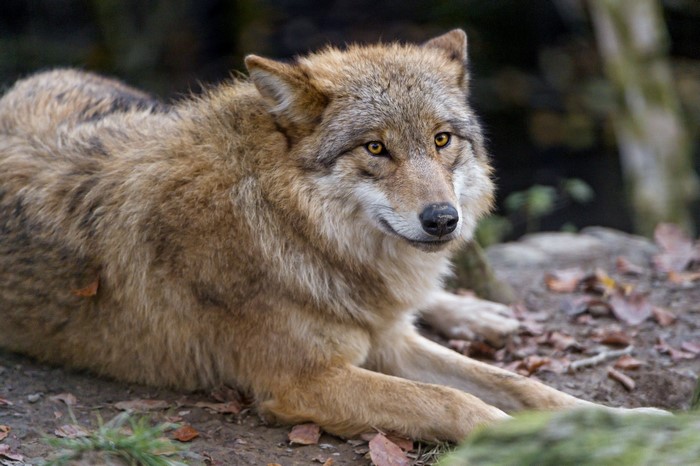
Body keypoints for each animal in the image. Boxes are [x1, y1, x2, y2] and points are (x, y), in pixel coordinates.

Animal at [0, 30, 658, 442]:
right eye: (376, 148)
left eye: (442, 139)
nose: (443, 220)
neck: (282, 222)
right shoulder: (306, 382)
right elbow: (454, 401)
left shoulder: (384, 341)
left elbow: (522, 385)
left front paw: (625, 422)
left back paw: (482, 315)